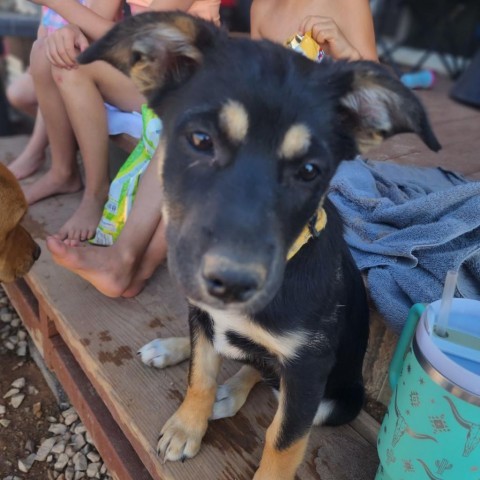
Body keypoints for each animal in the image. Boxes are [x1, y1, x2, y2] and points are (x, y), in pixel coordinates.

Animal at [78, 12, 438, 480]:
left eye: (310, 170)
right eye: (200, 140)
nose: (231, 283)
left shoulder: (308, 370)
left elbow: (282, 441)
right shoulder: (208, 315)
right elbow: (200, 373)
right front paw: (186, 427)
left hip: (339, 399)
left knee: (265, 376)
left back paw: (231, 390)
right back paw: (178, 351)